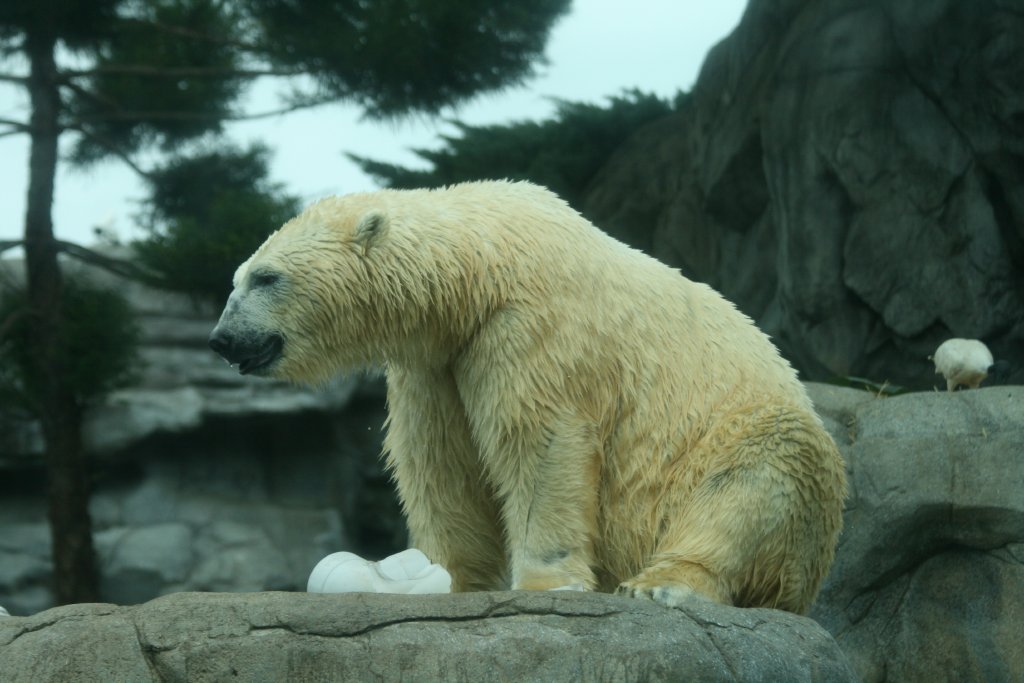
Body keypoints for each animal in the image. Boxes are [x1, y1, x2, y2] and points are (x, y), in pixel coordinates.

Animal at [209, 180, 847, 614]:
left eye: (265, 277)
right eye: (237, 278)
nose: (222, 338)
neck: (481, 264)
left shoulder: (531, 329)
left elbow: (542, 444)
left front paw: (547, 582)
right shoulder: (440, 359)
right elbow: (442, 463)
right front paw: (442, 576)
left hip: (743, 447)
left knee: (754, 476)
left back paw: (664, 583)